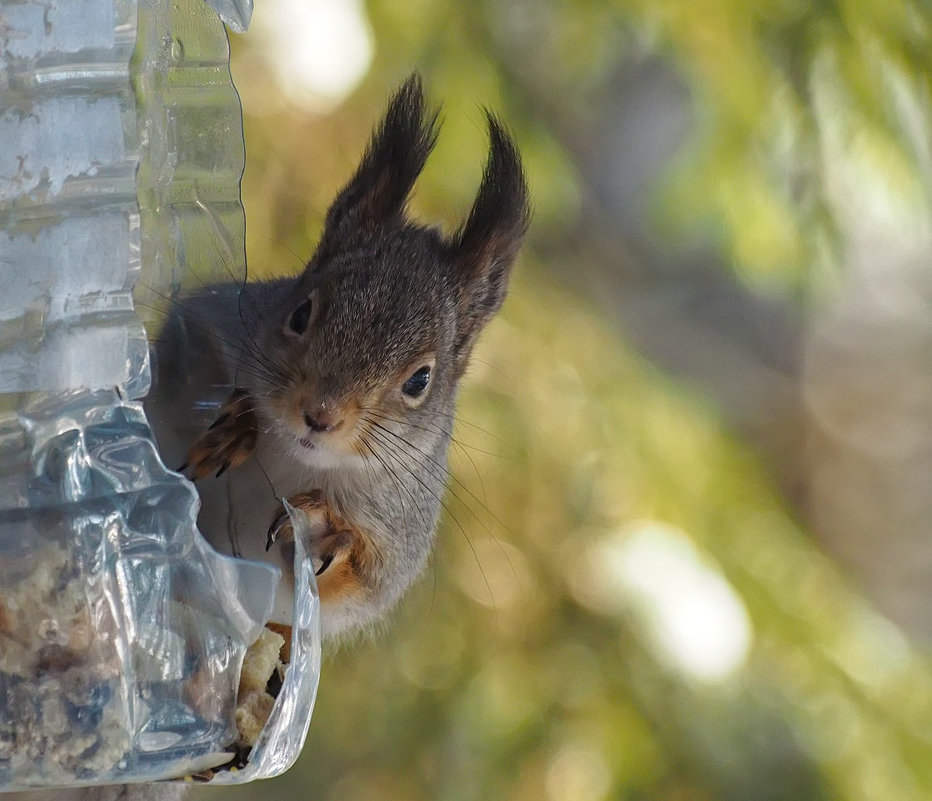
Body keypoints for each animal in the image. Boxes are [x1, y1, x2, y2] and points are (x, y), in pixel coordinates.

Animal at [143, 73, 528, 636]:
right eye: (300, 312)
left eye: (420, 380)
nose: (320, 415)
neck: (300, 464)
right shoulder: (206, 328)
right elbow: (188, 386)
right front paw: (238, 425)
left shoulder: (397, 535)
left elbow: (347, 587)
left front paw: (332, 531)